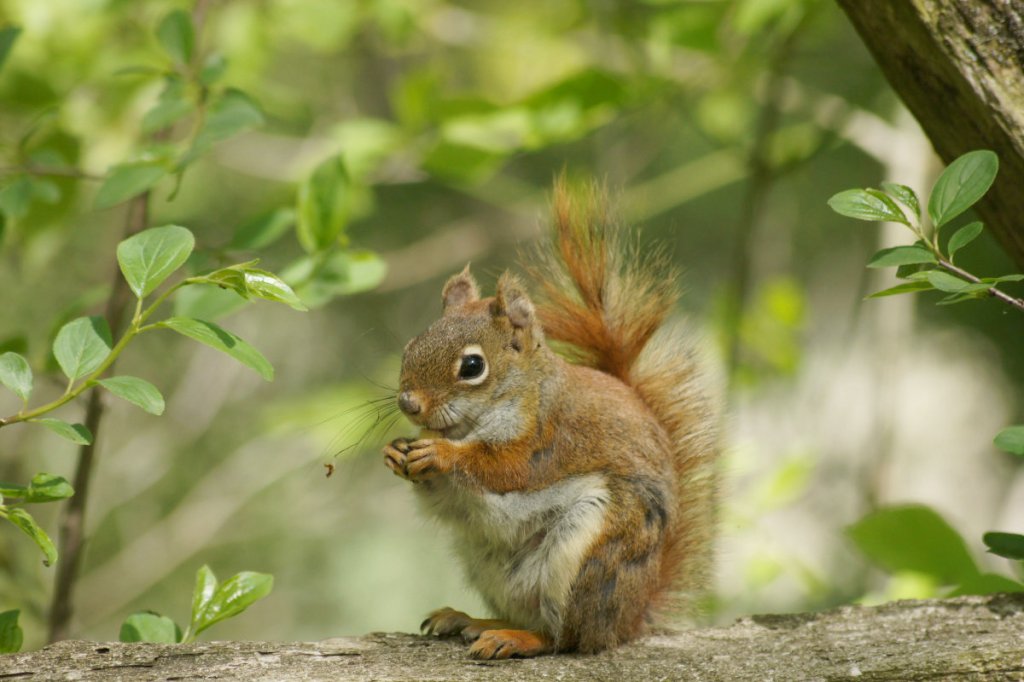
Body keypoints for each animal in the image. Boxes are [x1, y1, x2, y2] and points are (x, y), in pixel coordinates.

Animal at [382, 177, 718, 659]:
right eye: (411, 347)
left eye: (472, 366)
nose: (409, 404)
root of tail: (628, 620)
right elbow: (444, 496)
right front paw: (396, 451)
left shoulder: (550, 437)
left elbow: (507, 467)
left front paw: (442, 454)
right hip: (489, 566)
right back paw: (472, 620)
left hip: (591, 548)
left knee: (565, 638)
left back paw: (516, 638)